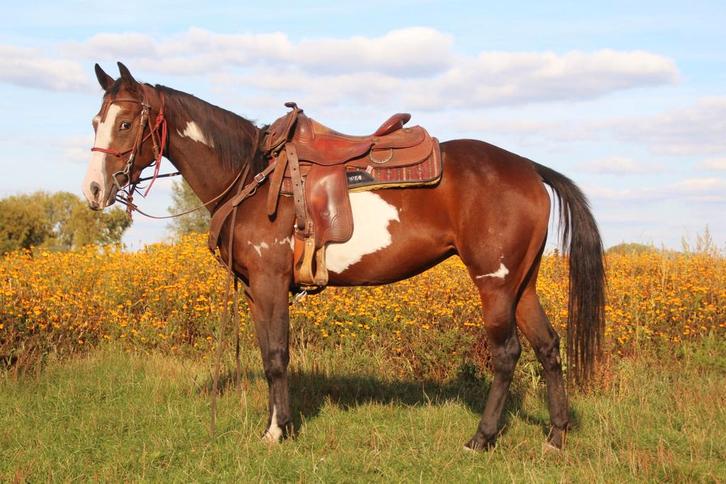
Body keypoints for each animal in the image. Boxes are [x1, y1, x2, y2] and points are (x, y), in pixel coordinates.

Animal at [82, 62, 605, 451]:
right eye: (95, 122)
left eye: (125, 123)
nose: (93, 190)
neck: (252, 174)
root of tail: (529, 168)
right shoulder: (255, 291)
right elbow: (269, 354)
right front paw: (275, 425)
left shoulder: (271, 284)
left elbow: (277, 356)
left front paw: (278, 433)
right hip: (522, 282)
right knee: (548, 346)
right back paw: (555, 438)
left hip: (494, 281)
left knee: (507, 353)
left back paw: (480, 439)